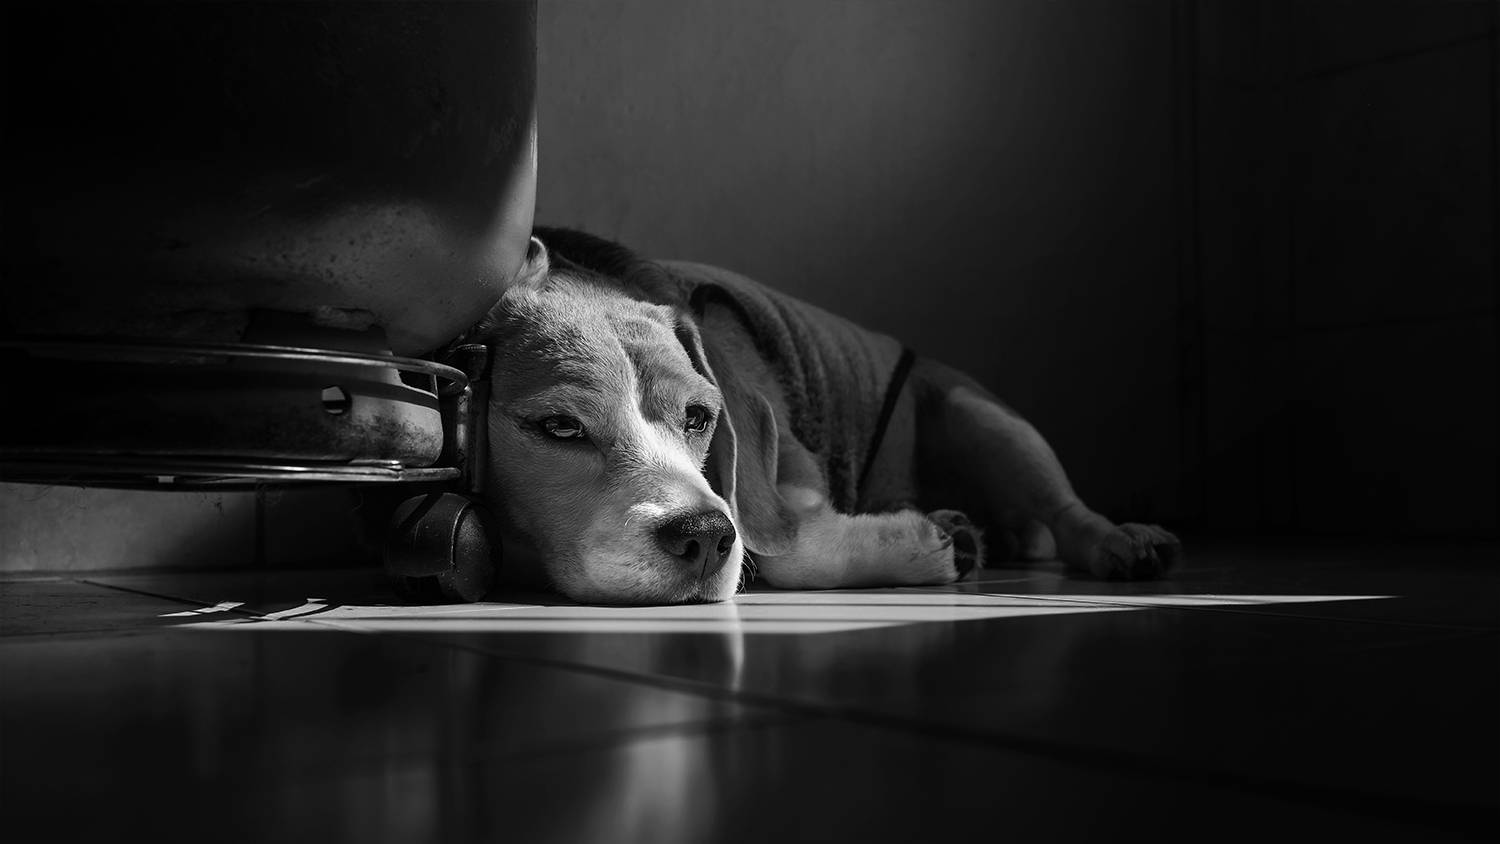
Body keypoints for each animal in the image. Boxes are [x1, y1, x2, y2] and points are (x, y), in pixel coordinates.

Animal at [454, 227, 1181, 605]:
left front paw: (931, 544)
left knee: (1067, 512)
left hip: (986, 420)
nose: (704, 538)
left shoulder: (789, 474)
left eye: (700, 418)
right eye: (560, 428)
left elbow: (780, 545)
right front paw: (937, 538)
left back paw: (1121, 540)